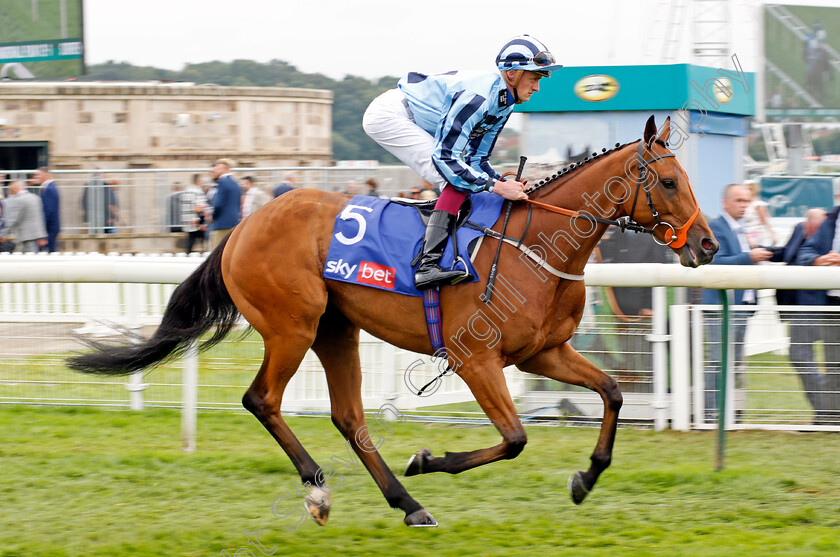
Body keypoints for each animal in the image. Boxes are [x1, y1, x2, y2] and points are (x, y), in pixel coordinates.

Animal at [69, 116, 720, 524]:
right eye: (668, 181)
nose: (708, 245)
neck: (536, 245)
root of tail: (242, 226)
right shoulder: (474, 357)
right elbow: (514, 438)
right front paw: (429, 459)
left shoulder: (543, 352)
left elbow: (611, 391)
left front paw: (586, 478)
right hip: (292, 327)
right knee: (263, 400)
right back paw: (322, 491)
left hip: (336, 329)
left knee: (349, 418)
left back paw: (408, 504)